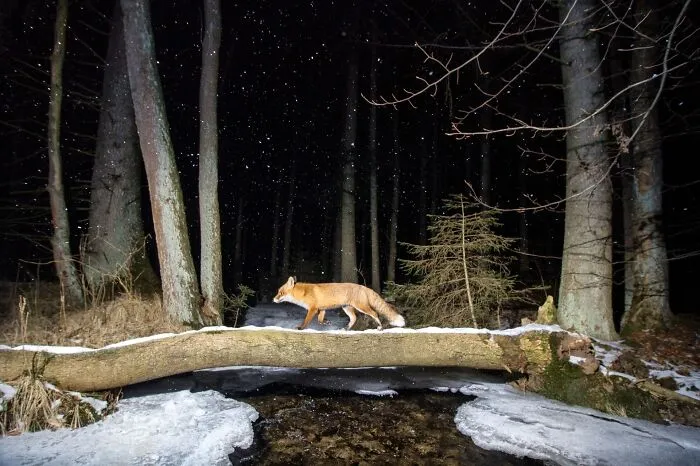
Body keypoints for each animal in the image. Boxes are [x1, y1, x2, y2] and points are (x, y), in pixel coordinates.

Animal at [273, 276, 406, 331]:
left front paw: (301, 328)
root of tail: (363, 287)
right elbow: (320, 321)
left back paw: (380, 327)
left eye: (280, 292)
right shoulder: (321, 309)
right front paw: (326, 322)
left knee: (375, 313)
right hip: (347, 308)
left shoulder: (313, 309)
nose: (273, 299)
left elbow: (306, 321)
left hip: (361, 307)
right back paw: (347, 328)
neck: (303, 293)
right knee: (354, 318)